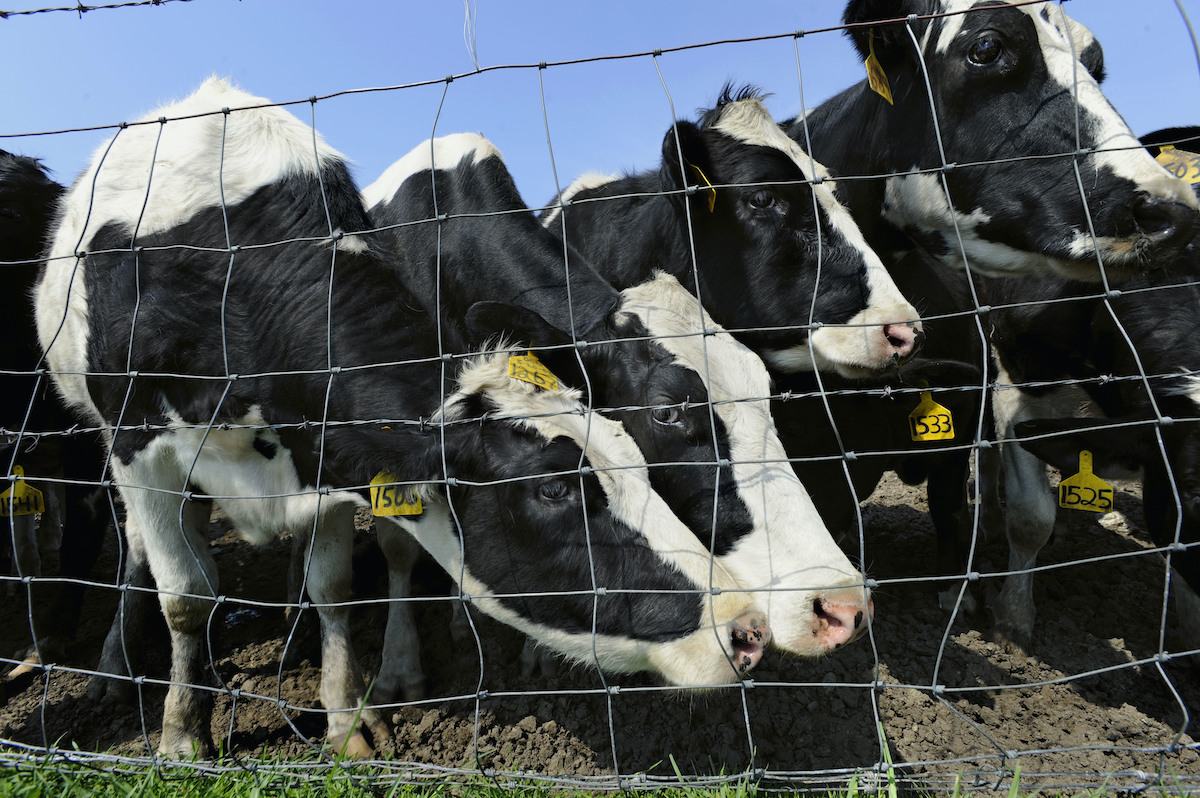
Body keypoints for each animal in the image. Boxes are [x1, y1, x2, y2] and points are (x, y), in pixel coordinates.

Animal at [33, 78, 772, 758]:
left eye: (636, 456)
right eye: (552, 488)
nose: (746, 628)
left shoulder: (329, 451)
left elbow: (332, 588)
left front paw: (348, 721)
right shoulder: (139, 445)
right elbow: (186, 595)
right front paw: (184, 733)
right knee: (145, 553)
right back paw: (121, 669)